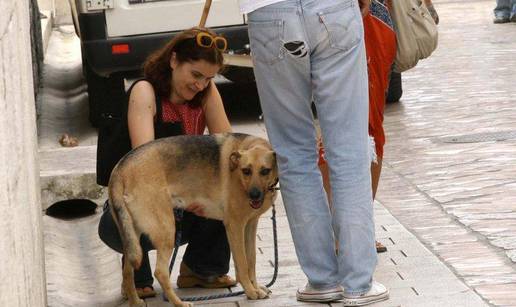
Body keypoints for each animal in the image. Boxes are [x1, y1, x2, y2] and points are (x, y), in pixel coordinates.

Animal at [109, 134, 278, 307]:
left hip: (133, 238)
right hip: (167, 231)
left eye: (265, 171)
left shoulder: (250, 225)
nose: (254, 195)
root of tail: (120, 168)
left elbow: (252, 260)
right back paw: (179, 303)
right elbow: (243, 264)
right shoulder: (235, 226)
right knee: (161, 272)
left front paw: (256, 287)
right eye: (246, 171)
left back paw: (136, 301)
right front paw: (250, 291)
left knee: (127, 272)